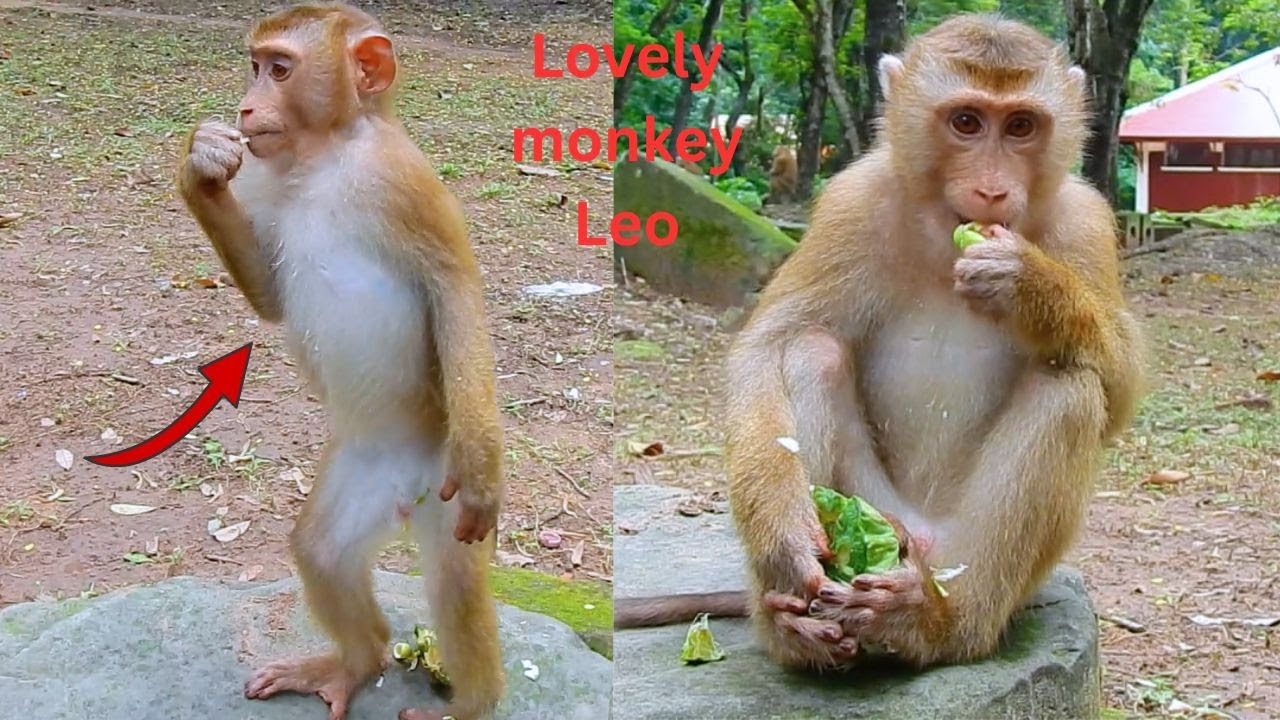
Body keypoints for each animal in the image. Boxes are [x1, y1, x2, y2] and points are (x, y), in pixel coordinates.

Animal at [175, 5, 505, 719]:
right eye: (254, 66)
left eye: (279, 69)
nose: (246, 108)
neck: (326, 156)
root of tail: (408, 489)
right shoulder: (267, 174)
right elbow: (272, 297)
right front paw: (203, 162)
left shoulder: (399, 178)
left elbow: (455, 290)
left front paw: (484, 470)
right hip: (363, 474)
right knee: (323, 551)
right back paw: (354, 665)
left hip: (440, 480)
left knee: (455, 576)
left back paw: (471, 703)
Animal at [615, 13, 1145, 673]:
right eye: (966, 122)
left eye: (1021, 126)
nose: (993, 192)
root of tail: (922, 542)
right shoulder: (851, 203)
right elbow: (767, 345)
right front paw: (784, 529)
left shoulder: (1085, 221)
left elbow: (1120, 390)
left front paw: (1031, 285)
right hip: (879, 507)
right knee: (810, 351)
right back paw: (793, 624)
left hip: (972, 563)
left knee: (1067, 385)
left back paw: (934, 624)